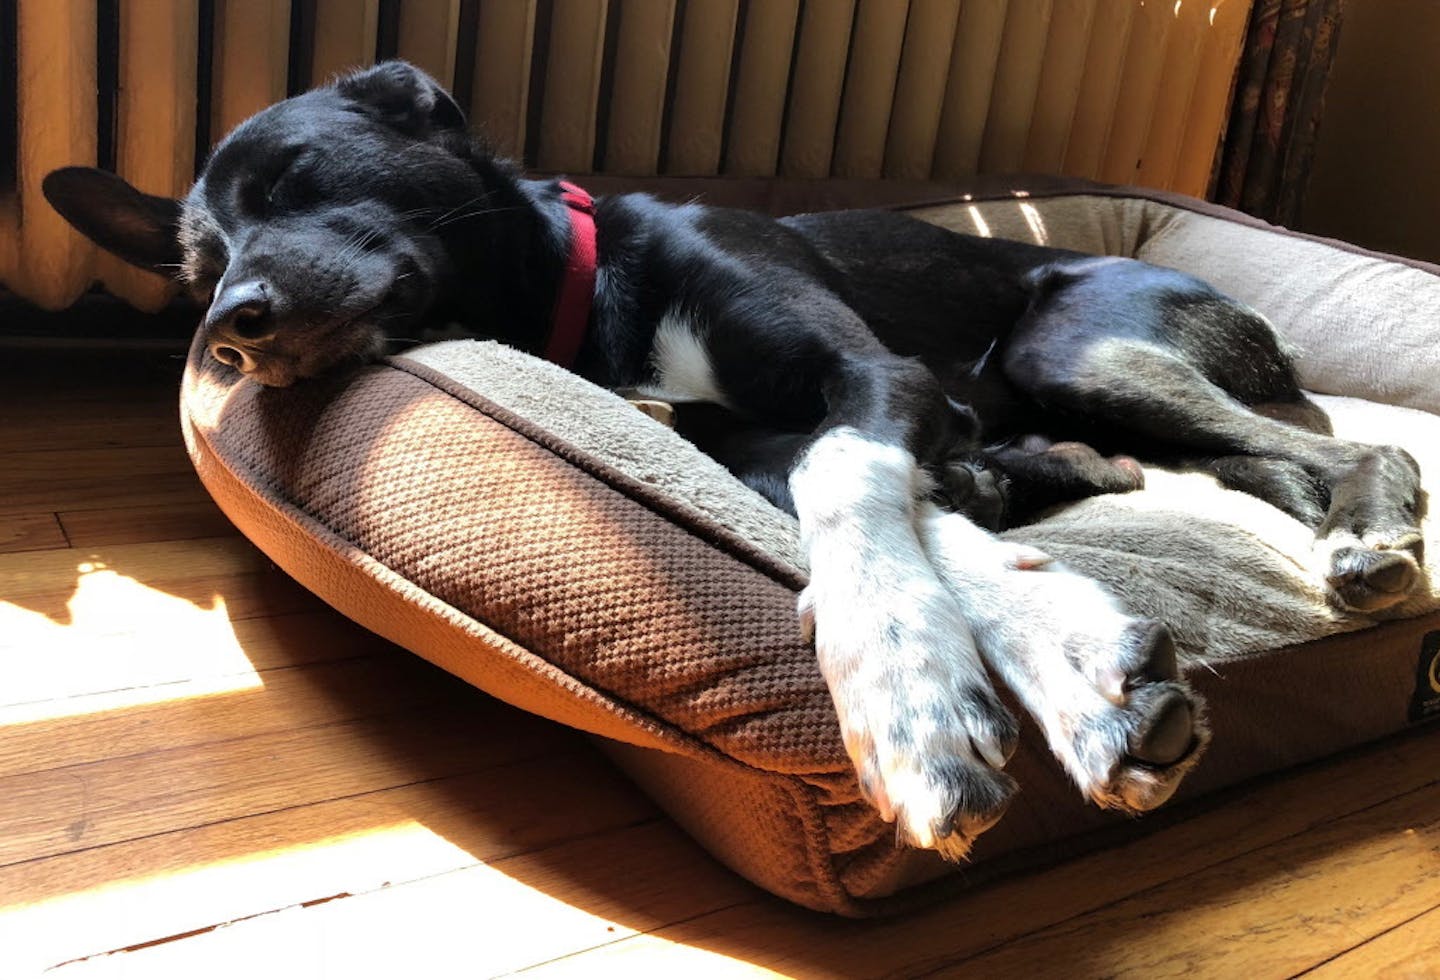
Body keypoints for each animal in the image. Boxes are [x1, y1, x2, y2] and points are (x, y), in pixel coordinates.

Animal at [39, 59, 1422, 857]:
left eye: (295, 173)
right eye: (198, 265)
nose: (228, 329)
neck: (588, 297)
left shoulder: (880, 382)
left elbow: (853, 496)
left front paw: (908, 702)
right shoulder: (772, 436)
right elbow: (890, 514)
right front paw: (1058, 653)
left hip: (1077, 342)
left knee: (1348, 446)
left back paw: (1365, 521)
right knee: (1229, 463)